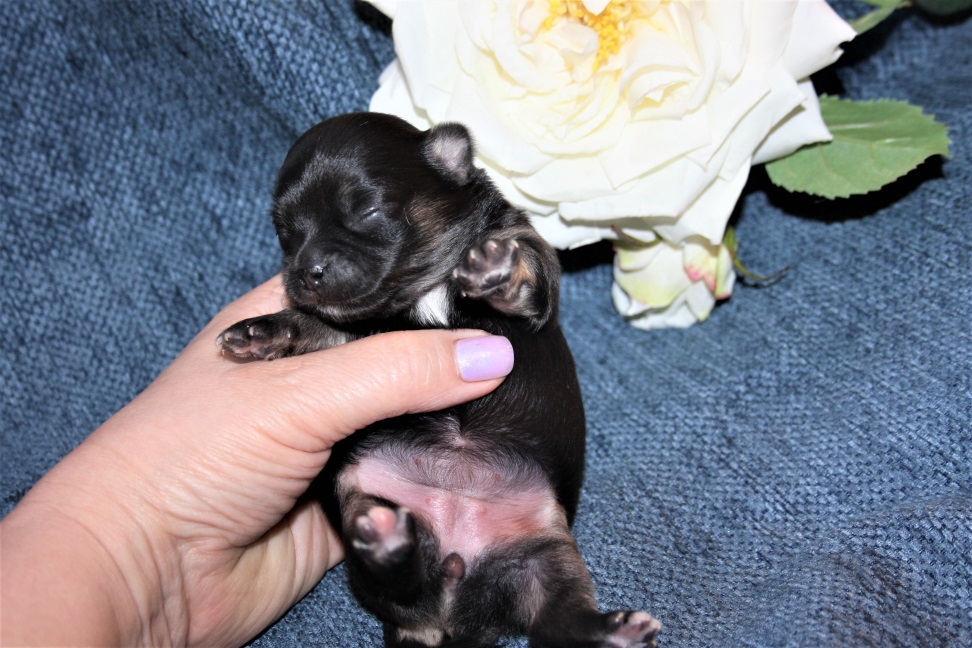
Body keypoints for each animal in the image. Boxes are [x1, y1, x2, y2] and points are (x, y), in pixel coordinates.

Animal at [217, 112, 660, 647]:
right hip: (365, 508)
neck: (424, 287)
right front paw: (260, 331)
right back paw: (389, 542)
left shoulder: (524, 242)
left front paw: (495, 268)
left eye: (367, 209)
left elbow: (530, 266)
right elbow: (312, 325)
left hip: (545, 554)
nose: (306, 271)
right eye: (285, 233)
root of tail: (450, 608)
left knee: (558, 617)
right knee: (398, 582)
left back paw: (613, 630)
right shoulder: (348, 332)